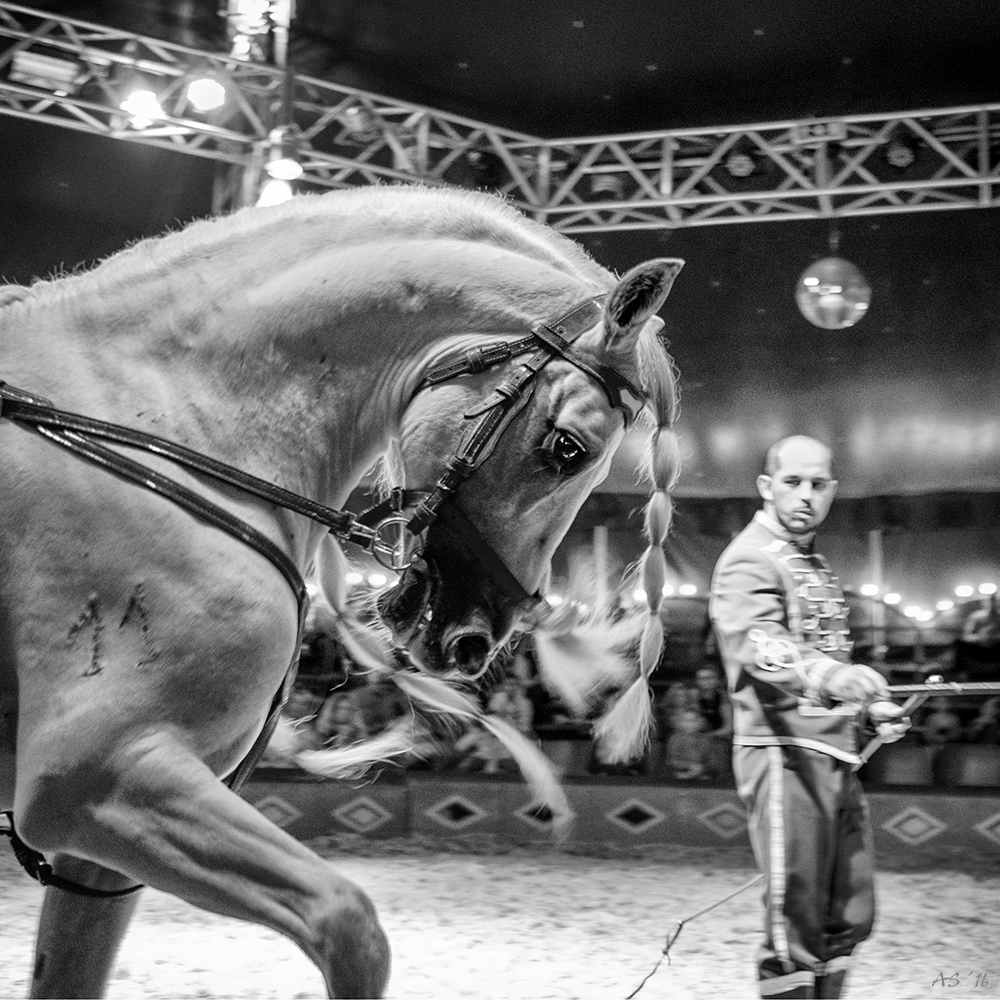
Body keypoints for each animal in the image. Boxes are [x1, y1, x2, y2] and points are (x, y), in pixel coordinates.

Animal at [0, 184, 680, 996]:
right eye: (568, 448)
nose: (478, 637)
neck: (169, 422)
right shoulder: (93, 774)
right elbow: (352, 927)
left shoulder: (98, 848)